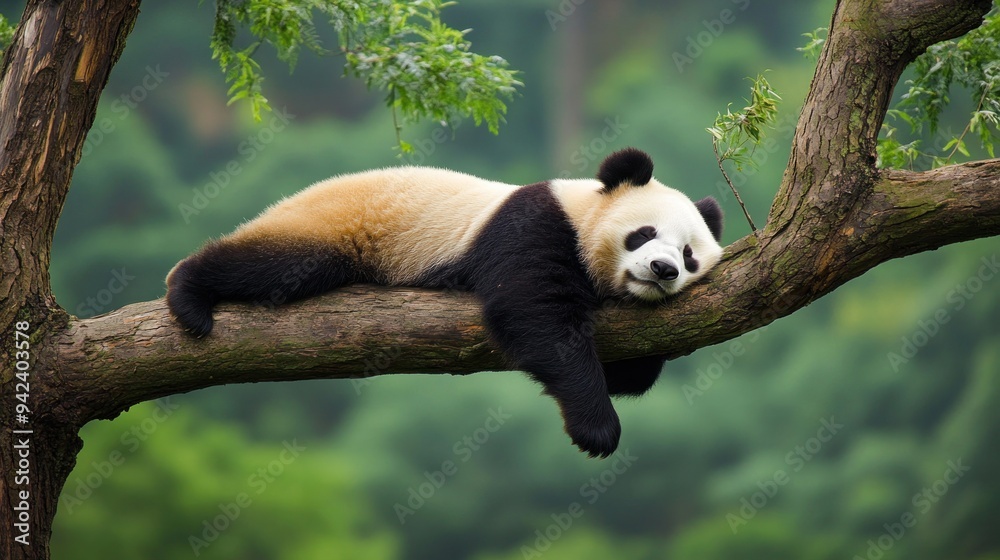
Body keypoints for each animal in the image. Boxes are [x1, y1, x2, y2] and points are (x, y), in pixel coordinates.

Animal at [166, 147, 724, 458]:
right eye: (644, 234)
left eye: (690, 256)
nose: (663, 269)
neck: (582, 210)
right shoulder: (532, 226)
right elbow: (534, 312)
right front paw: (597, 429)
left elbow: (627, 374)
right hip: (336, 224)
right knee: (274, 264)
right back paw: (189, 293)